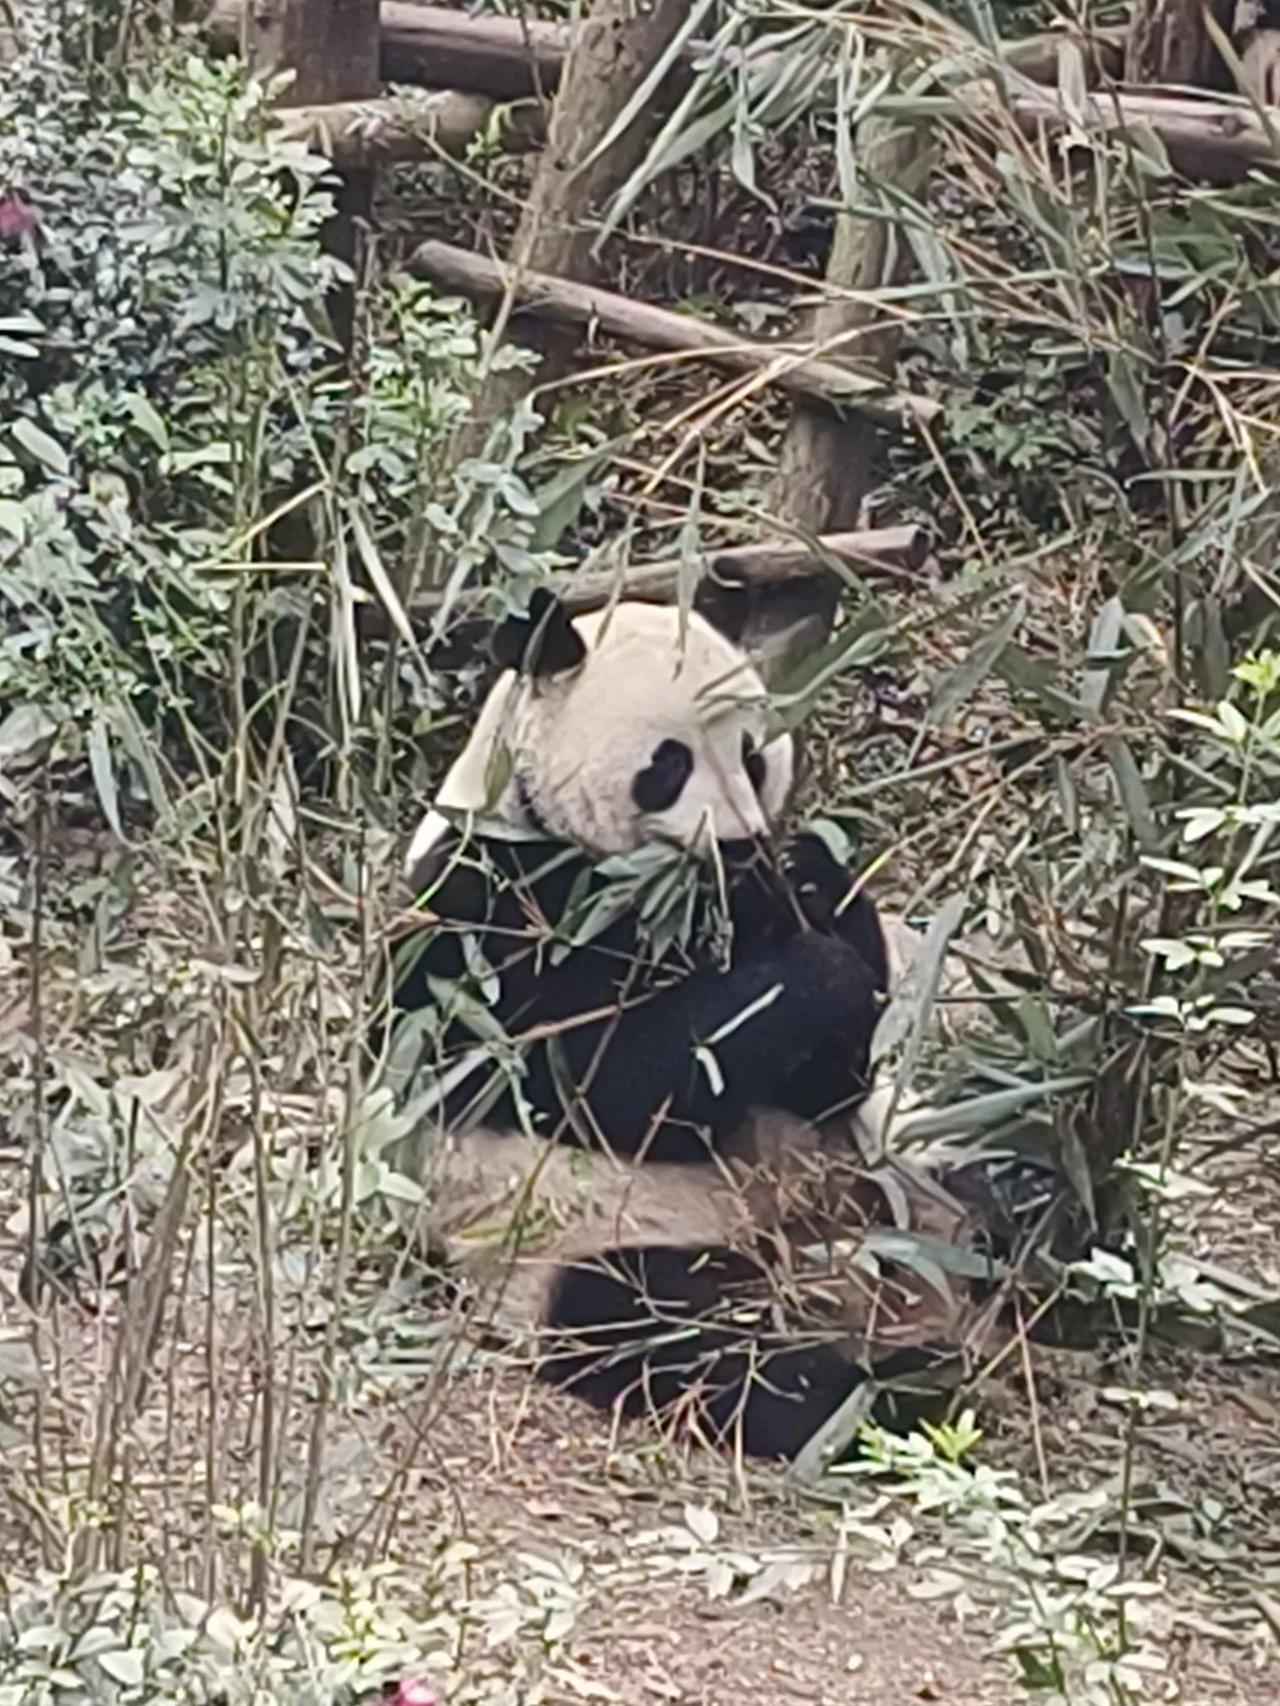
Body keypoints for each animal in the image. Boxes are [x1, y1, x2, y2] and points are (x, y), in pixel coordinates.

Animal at [375, 593, 976, 1460]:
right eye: (667, 765)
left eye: (752, 756)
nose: (738, 841)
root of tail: (817, 1252)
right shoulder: (488, 912)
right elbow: (607, 1079)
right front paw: (817, 977)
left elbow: (832, 1073)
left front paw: (814, 883)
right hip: (584, 1239)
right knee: (677, 1336)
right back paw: (890, 1392)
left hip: (894, 1163)